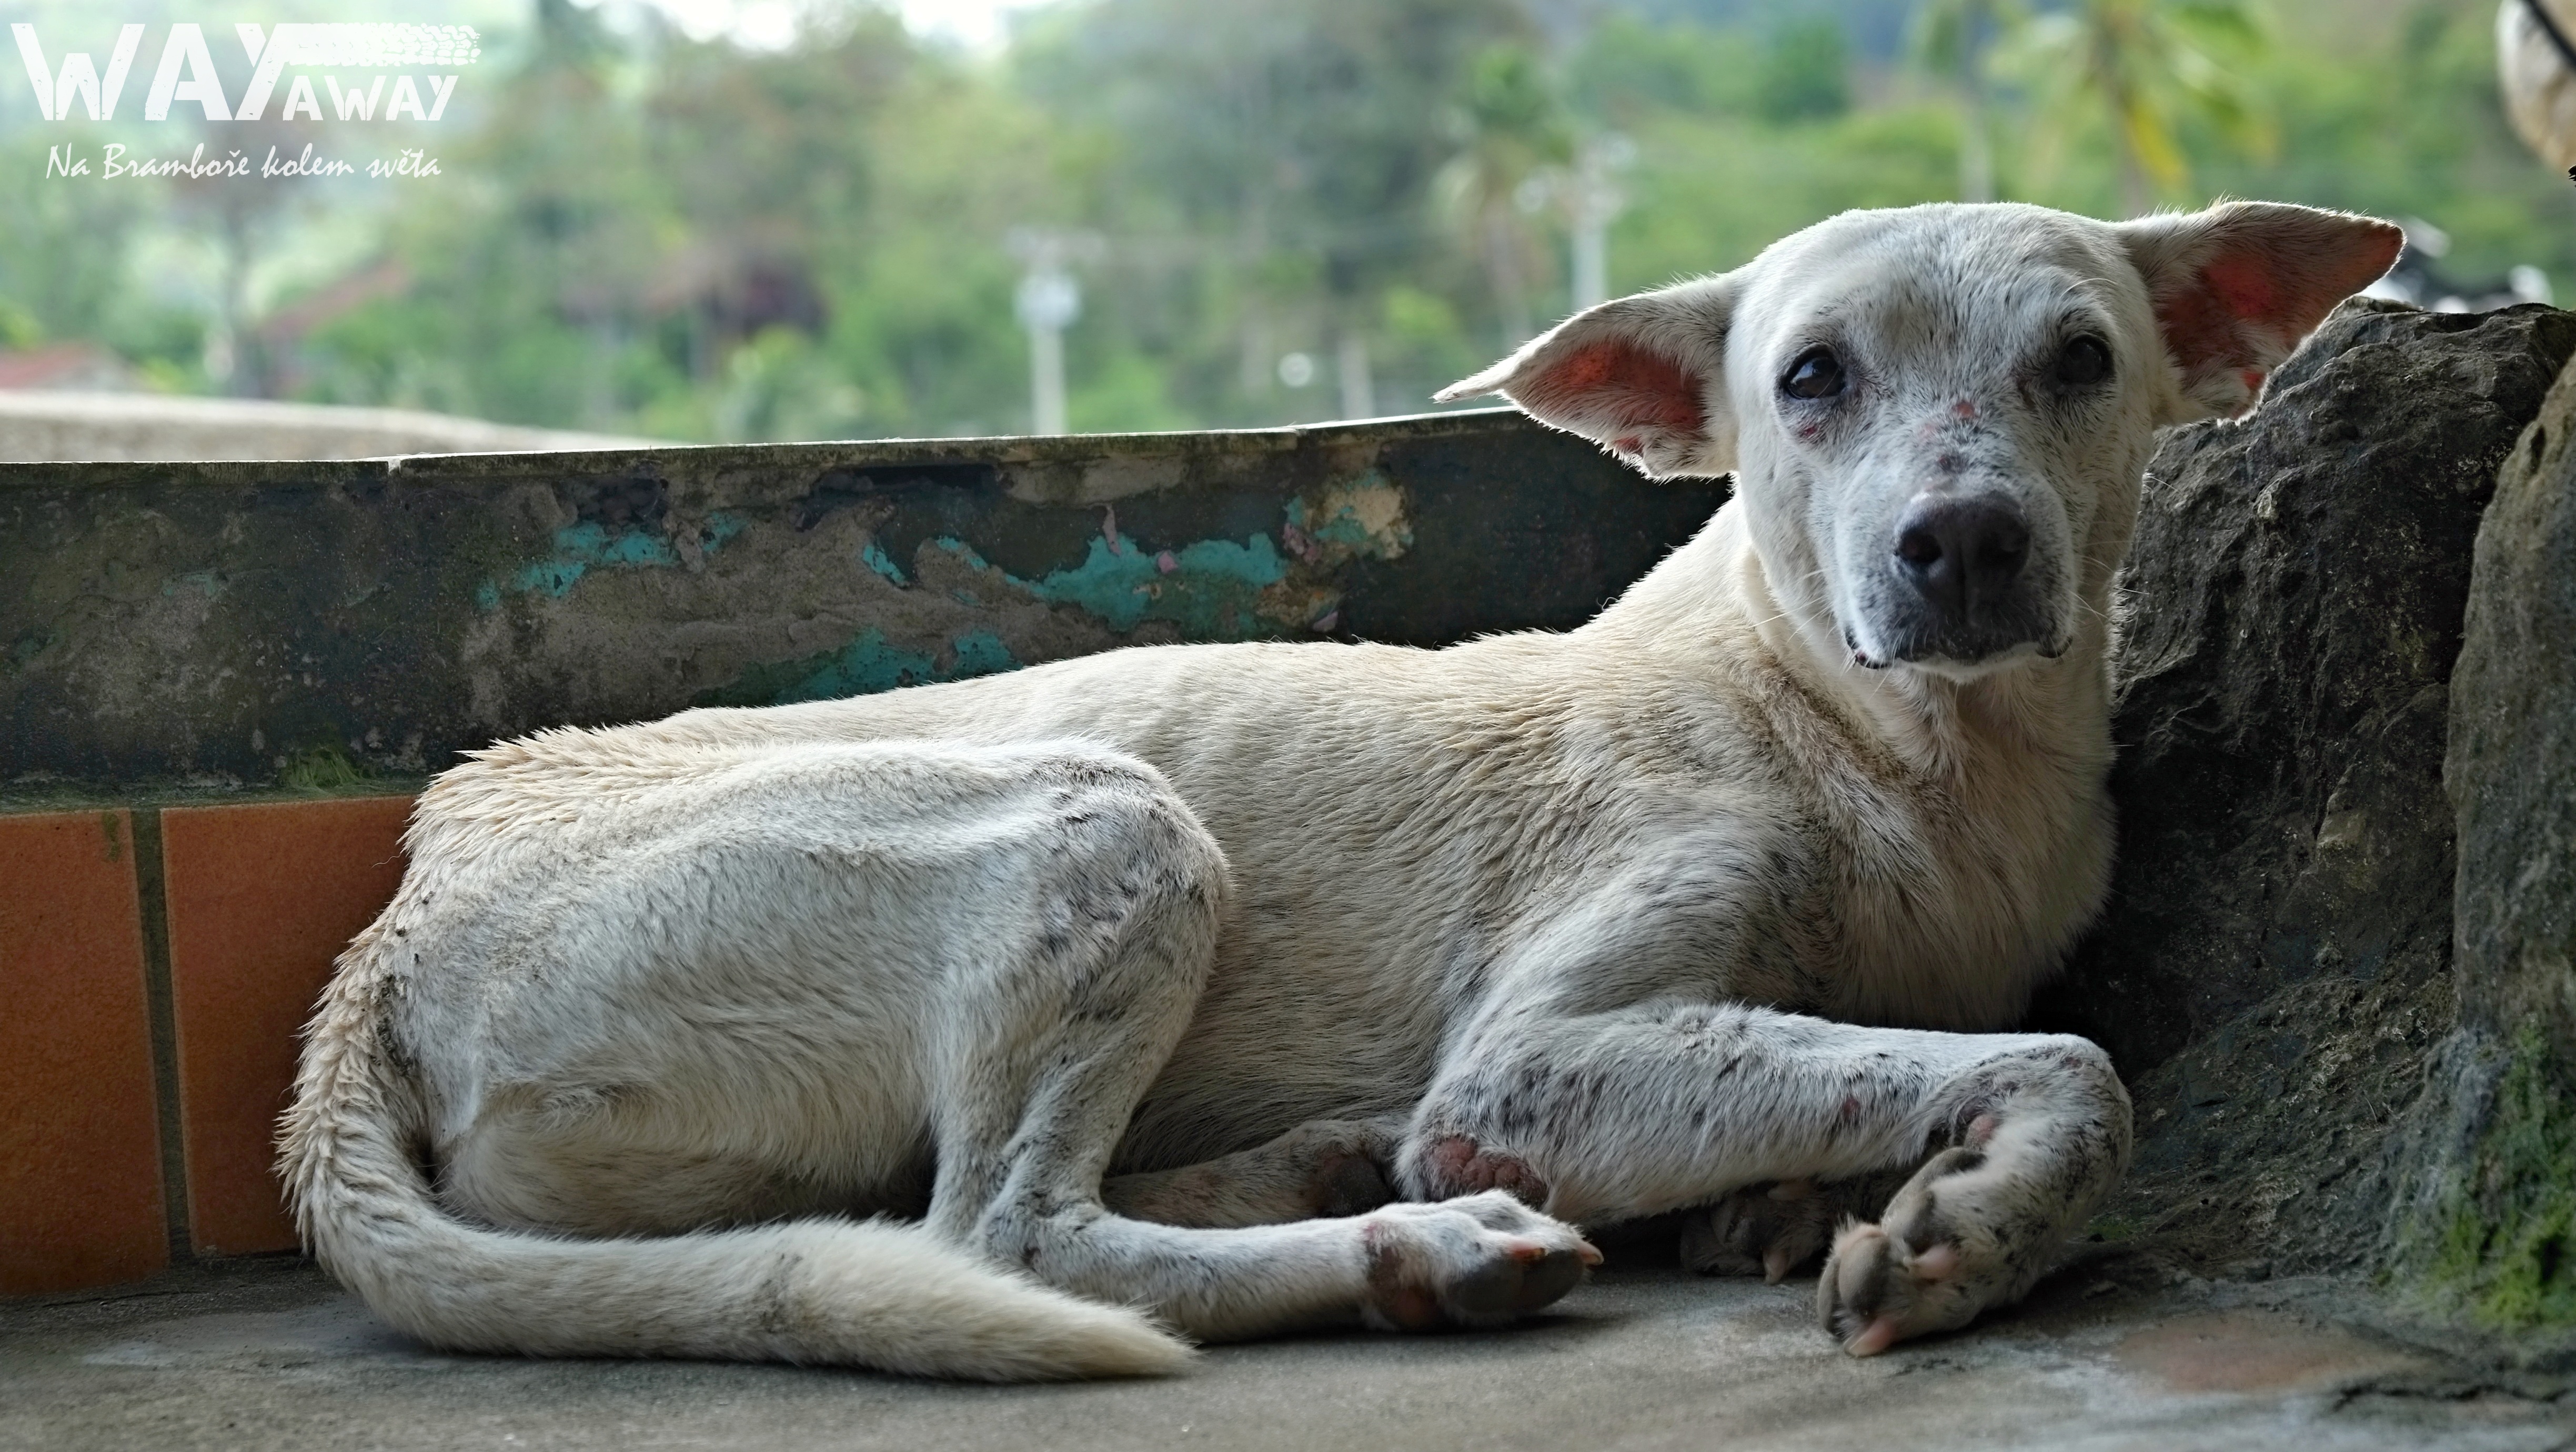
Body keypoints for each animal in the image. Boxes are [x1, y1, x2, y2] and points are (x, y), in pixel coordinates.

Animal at [292, 198, 2401, 1379]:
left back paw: (1331, 1176)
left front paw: (1795, 1198)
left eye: (2081, 359)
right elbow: (2072, 1066)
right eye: (1809, 377)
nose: (1961, 548)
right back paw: (1418, 1247)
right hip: (1112, 821)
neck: (1889, 740)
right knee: (999, 1232)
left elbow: (1907, 1054)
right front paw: (1971, 1228)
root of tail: (386, 940)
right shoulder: (1529, 1059)